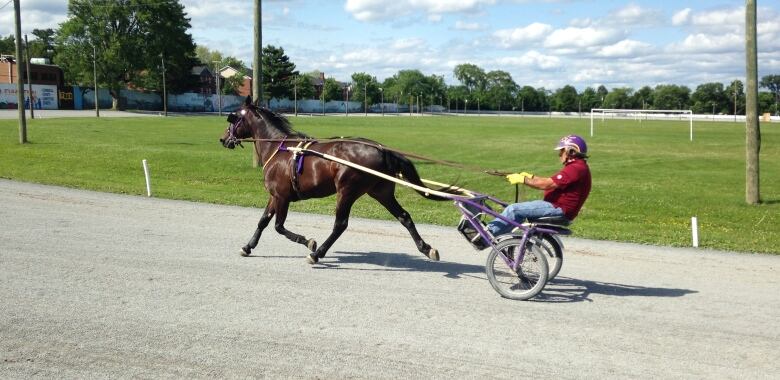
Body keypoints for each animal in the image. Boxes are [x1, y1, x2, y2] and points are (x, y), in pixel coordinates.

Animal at [216, 96, 454, 266]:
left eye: (233, 117)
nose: (223, 139)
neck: (279, 148)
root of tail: (381, 149)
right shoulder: (274, 195)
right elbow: (263, 221)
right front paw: (248, 247)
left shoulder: (282, 196)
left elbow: (278, 226)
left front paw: (309, 243)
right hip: (381, 191)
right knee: (404, 217)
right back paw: (426, 248)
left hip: (347, 191)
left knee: (340, 224)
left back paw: (318, 254)